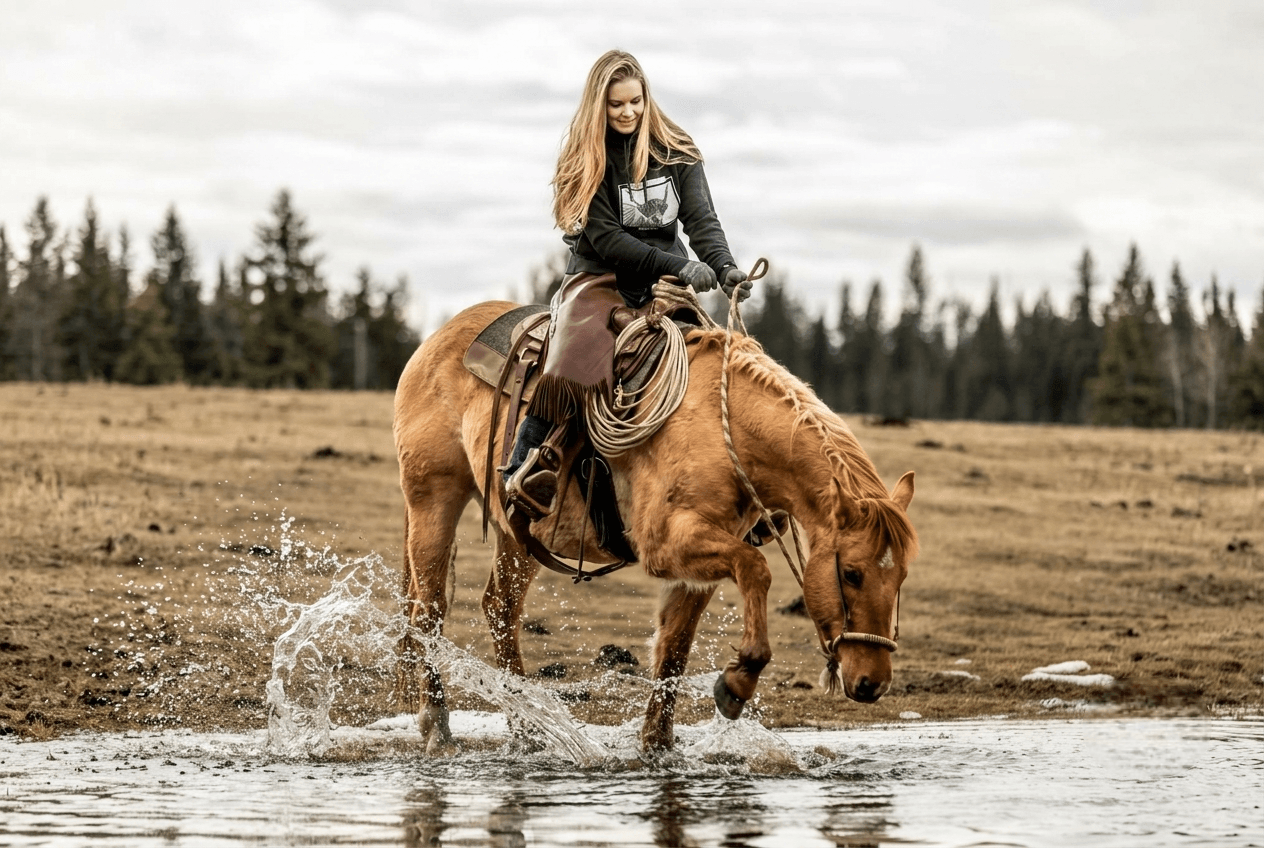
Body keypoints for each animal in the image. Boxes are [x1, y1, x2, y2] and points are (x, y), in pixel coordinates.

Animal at [393, 299, 918, 753]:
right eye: (851, 573)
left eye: (901, 578)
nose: (872, 683)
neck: (723, 430)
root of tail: (437, 339)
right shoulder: (668, 545)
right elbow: (756, 568)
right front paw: (739, 679)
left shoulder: (699, 565)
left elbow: (674, 650)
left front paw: (658, 746)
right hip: (433, 500)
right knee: (428, 612)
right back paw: (437, 726)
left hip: (519, 533)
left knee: (500, 608)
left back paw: (528, 728)